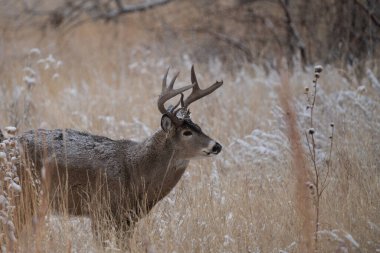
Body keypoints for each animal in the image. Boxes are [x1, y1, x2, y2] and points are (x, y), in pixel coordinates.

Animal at [15, 65, 223, 235]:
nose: (217, 146)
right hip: (24, 194)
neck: (137, 170)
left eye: (199, 126)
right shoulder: (101, 209)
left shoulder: (128, 217)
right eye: (187, 132)